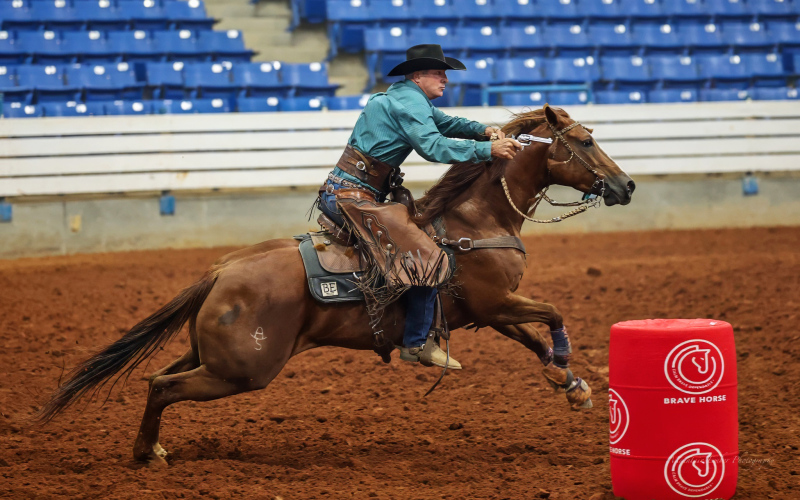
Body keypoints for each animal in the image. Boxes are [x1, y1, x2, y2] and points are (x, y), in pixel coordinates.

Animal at [36, 104, 635, 467]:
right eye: (585, 141)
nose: (626, 185)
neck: (473, 223)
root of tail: (222, 270)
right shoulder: (496, 302)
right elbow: (553, 313)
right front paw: (568, 371)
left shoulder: (488, 311)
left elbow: (533, 338)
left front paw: (570, 384)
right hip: (243, 369)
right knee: (163, 385)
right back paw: (145, 455)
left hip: (210, 354)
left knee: (158, 378)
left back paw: (152, 447)